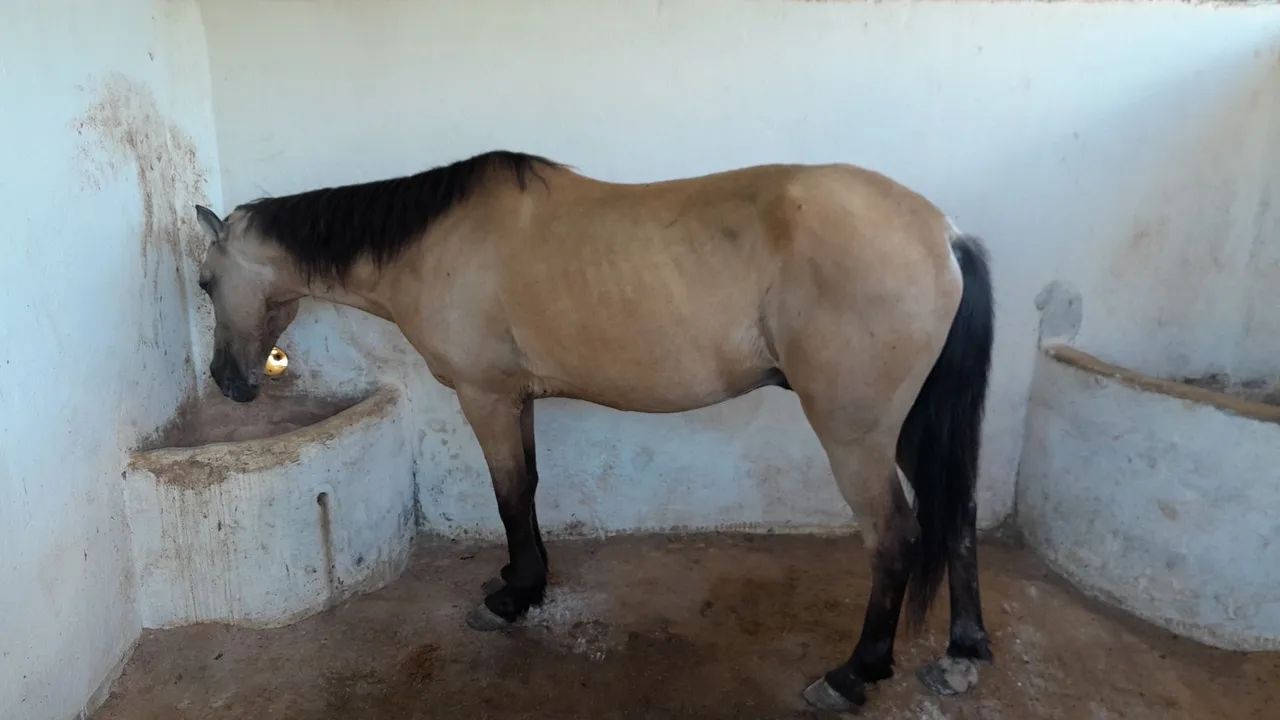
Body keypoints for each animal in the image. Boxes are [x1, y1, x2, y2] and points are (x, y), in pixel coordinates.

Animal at [193, 150, 995, 712]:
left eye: (203, 282)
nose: (229, 382)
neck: (434, 243)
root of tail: (945, 232)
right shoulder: (517, 397)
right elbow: (527, 489)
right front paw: (525, 581)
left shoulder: (485, 397)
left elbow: (507, 493)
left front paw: (511, 599)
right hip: (912, 426)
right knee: (958, 515)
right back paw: (963, 652)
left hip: (856, 435)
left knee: (894, 537)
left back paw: (854, 673)